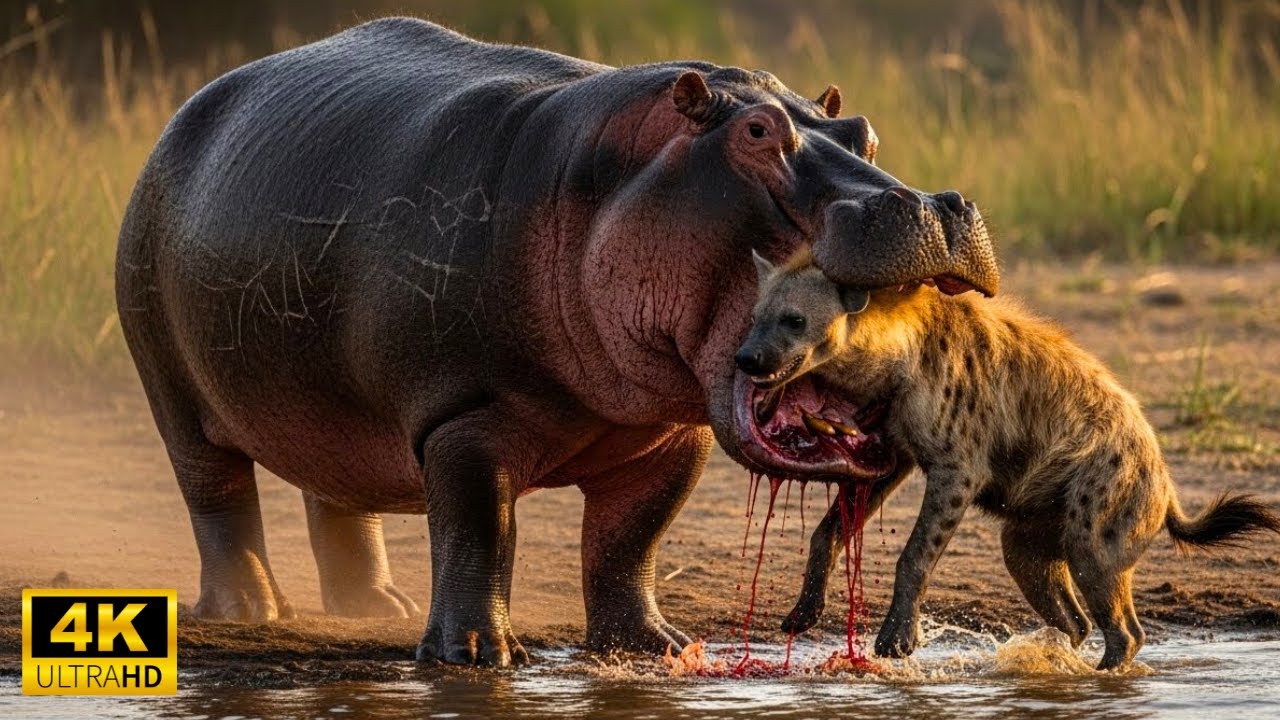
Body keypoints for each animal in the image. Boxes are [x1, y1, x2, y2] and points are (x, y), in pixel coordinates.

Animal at [115, 17, 998, 667]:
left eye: (863, 132)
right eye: (755, 132)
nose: (938, 203)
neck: (620, 170)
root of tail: (188, 111)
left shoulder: (668, 438)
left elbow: (629, 542)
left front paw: (656, 646)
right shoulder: (463, 419)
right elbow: (478, 531)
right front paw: (476, 657)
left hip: (328, 402)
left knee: (335, 492)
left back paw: (375, 607)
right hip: (171, 391)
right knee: (218, 496)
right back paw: (250, 609)